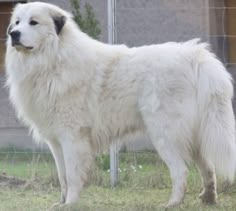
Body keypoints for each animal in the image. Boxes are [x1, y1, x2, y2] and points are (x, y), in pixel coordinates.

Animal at [5, 2, 236, 209]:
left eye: (33, 22)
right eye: (16, 22)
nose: (13, 34)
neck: (53, 58)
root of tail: (195, 56)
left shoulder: (72, 137)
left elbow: (71, 175)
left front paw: (70, 203)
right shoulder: (56, 141)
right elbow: (62, 176)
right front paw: (61, 202)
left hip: (165, 133)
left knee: (181, 170)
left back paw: (172, 203)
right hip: (194, 134)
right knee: (208, 167)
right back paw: (208, 198)